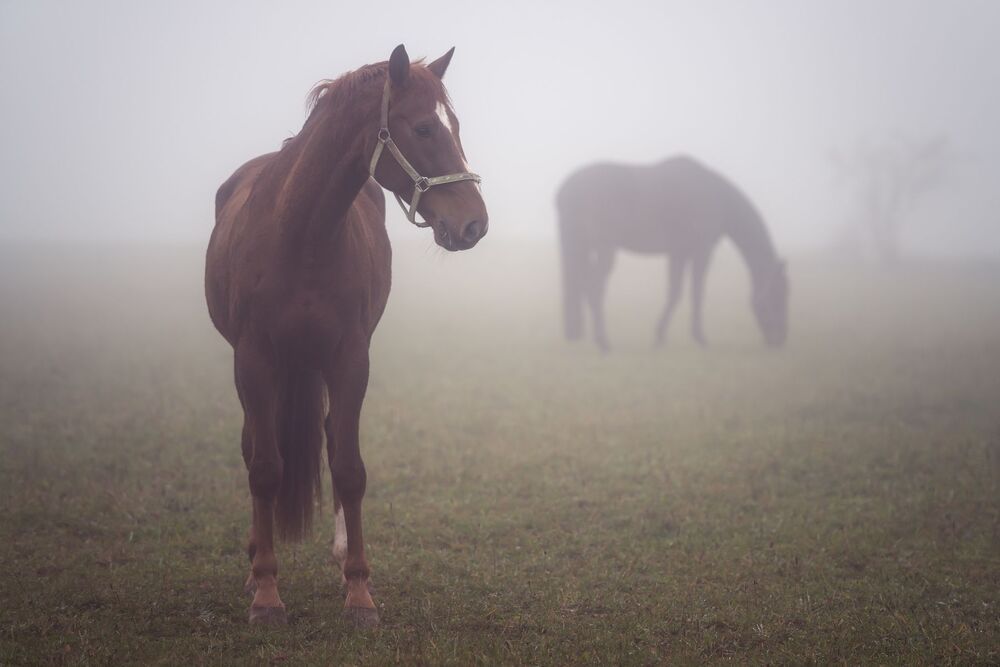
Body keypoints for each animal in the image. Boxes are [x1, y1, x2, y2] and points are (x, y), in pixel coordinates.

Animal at [204, 45, 487, 626]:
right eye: (423, 128)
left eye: (453, 126)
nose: (475, 224)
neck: (301, 235)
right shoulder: (253, 359)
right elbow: (264, 467)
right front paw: (266, 593)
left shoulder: (351, 358)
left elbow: (349, 468)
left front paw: (359, 591)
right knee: (252, 448)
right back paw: (253, 566)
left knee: (333, 439)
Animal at [556, 156, 787, 352]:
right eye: (780, 294)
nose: (780, 341)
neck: (716, 198)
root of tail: (566, 189)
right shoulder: (702, 251)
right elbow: (697, 293)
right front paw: (700, 338)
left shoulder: (678, 253)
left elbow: (674, 292)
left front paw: (659, 336)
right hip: (605, 249)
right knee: (594, 287)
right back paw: (603, 342)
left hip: (578, 246)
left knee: (581, 285)